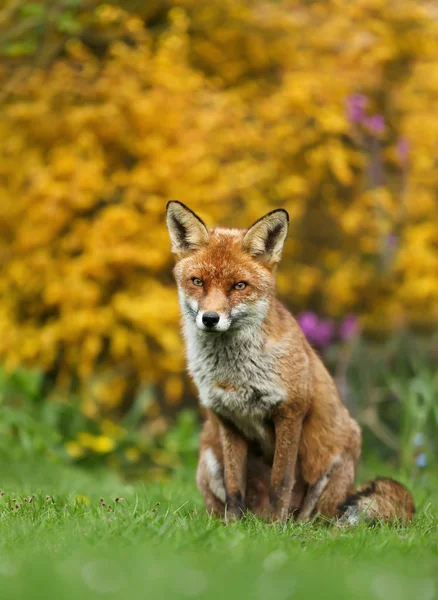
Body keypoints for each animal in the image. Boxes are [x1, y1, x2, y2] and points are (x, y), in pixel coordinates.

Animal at [164, 202, 414, 524]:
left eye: (239, 286)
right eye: (197, 282)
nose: (210, 318)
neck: (236, 375)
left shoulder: (290, 412)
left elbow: (280, 482)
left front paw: (276, 529)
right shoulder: (227, 417)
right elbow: (234, 487)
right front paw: (232, 528)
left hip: (336, 458)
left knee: (324, 519)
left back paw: (294, 525)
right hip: (207, 456)